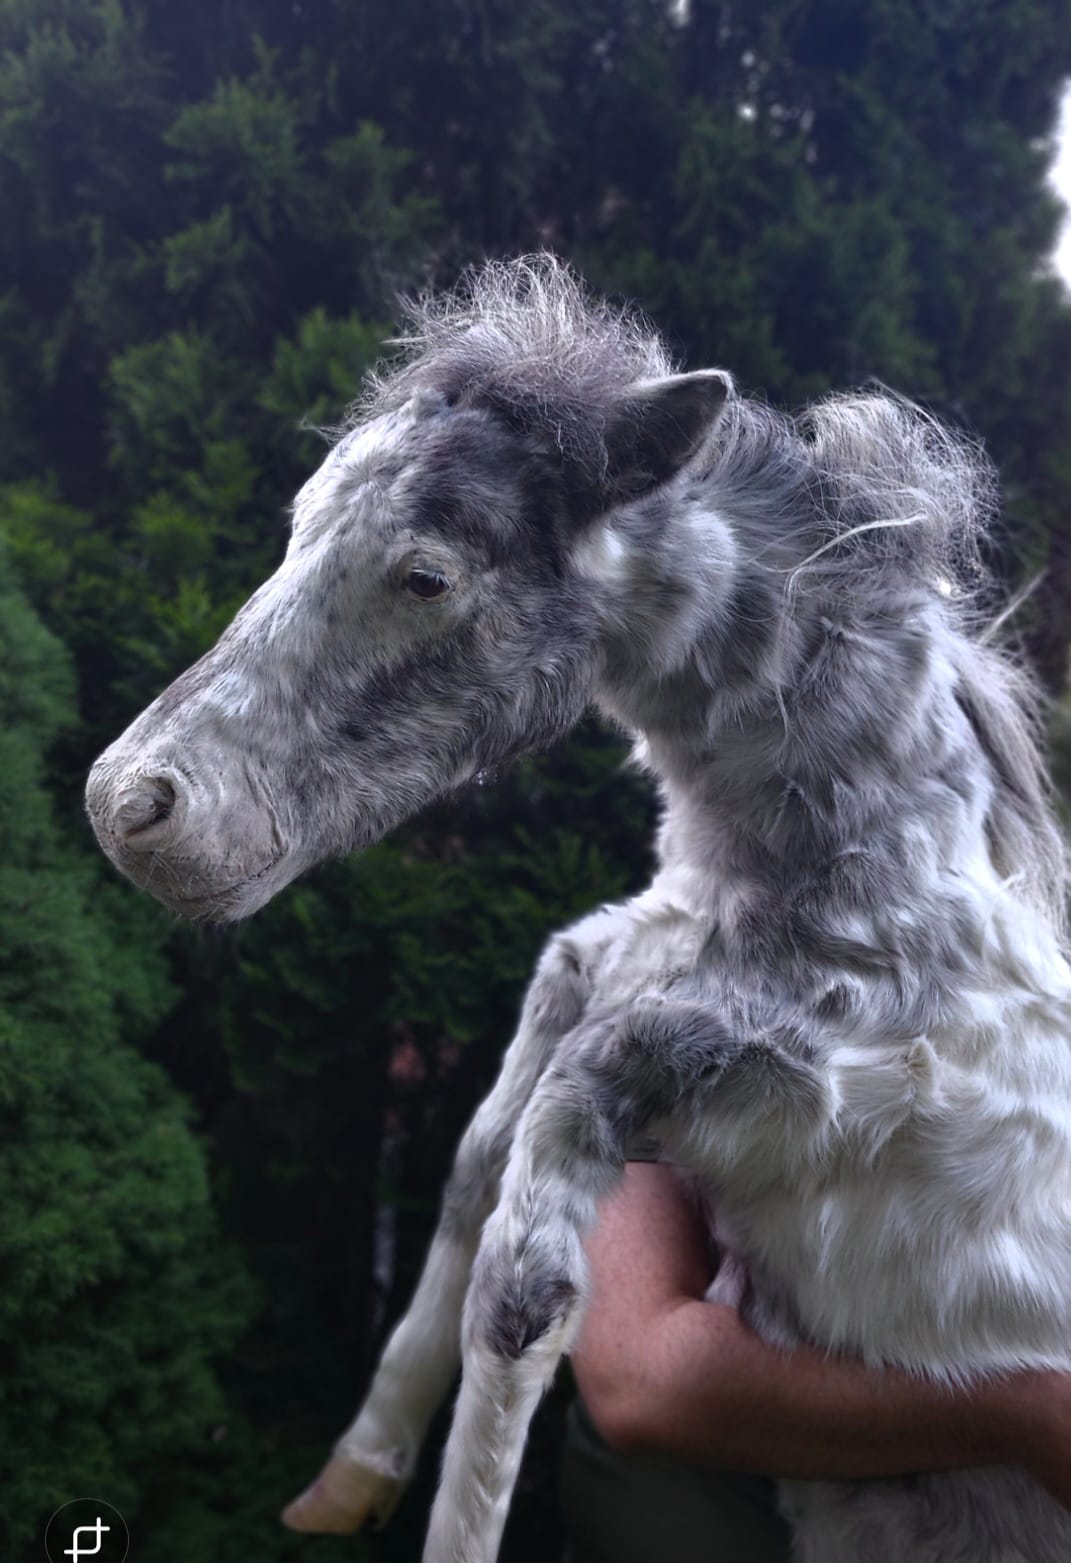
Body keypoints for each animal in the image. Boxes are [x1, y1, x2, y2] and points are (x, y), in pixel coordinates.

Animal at [86, 256, 1071, 1562]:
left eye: (426, 574)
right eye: (297, 524)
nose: (130, 807)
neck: (864, 905)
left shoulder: (719, 1090)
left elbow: (522, 1298)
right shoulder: (591, 975)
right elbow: (471, 1164)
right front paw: (351, 1481)